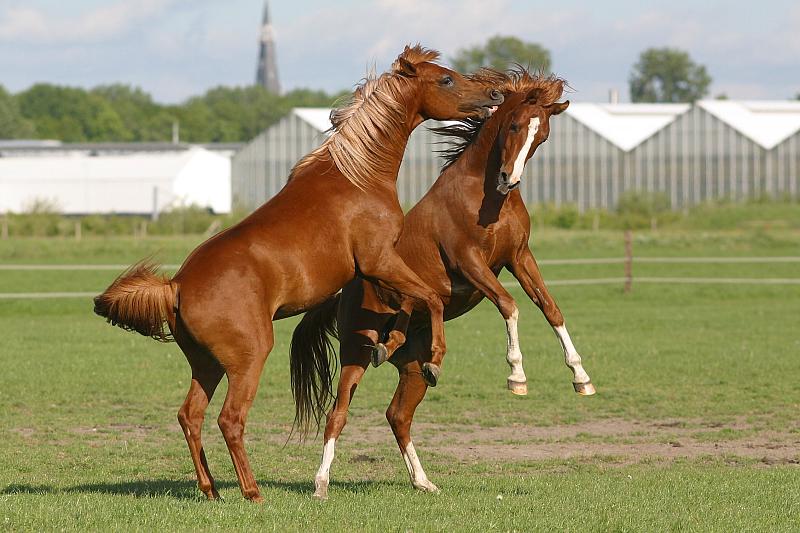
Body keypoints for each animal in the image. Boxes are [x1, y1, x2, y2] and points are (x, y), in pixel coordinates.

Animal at [92, 43, 500, 500]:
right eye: (446, 79)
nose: (493, 95)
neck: (357, 177)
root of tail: (177, 285)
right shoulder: (379, 260)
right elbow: (429, 297)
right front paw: (432, 361)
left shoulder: (377, 270)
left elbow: (413, 301)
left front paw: (387, 344)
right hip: (248, 360)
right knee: (229, 420)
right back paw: (252, 491)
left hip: (206, 365)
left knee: (190, 416)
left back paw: (212, 489)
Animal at [292, 68, 592, 496]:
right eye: (514, 125)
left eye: (543, 135)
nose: (508, 180)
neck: (484, 200)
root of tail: (344, 293)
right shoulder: (470, 262)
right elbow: (509, 305)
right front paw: (516, 376)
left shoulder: (518, 258)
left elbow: (550, 309)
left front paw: (581, 377)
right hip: (353, 351)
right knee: (339, 413)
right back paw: (321, 483)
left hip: (413, 369)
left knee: (398, 415)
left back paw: (422, 478)